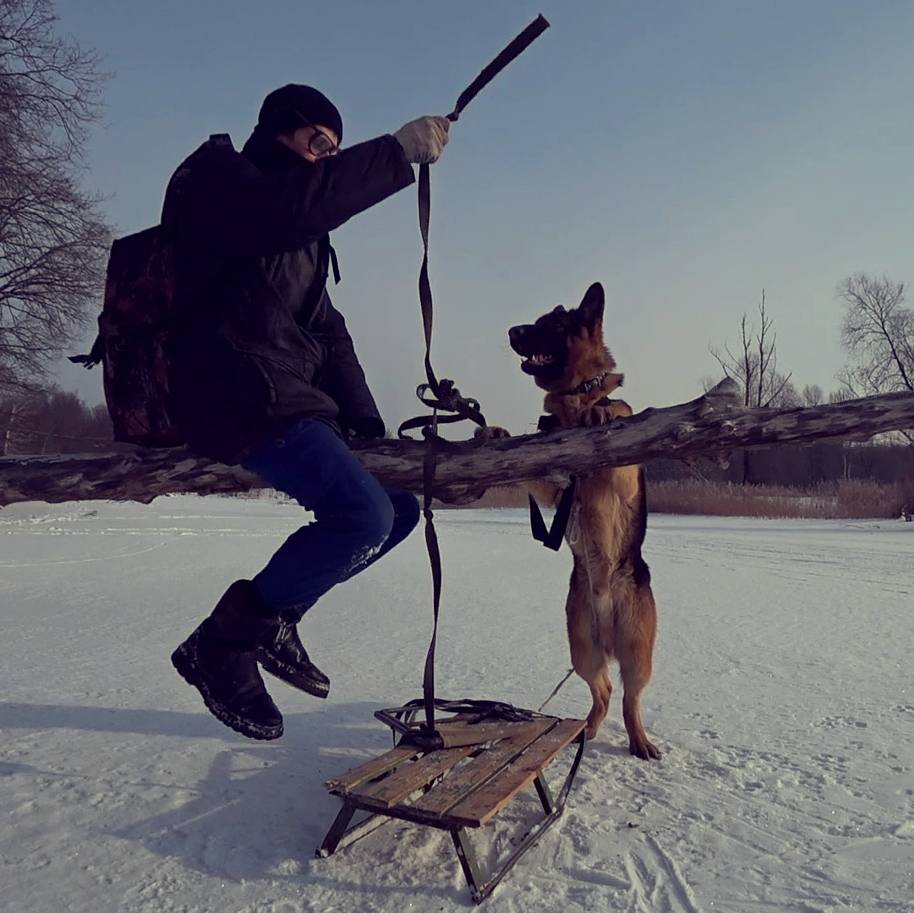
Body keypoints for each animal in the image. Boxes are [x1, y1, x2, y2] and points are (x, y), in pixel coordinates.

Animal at [480, 282, 660, 760]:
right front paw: (495, 433)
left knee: (631, 698)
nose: (511, 331)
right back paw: (588, 729)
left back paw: (639, 740)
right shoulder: (558, 493)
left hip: (638, 651)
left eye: (553, 325)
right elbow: (532, 474)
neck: (576, 399)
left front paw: (605, 412)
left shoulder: (624, 472)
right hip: (583, 649)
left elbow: (620, 411)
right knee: (604, 692)